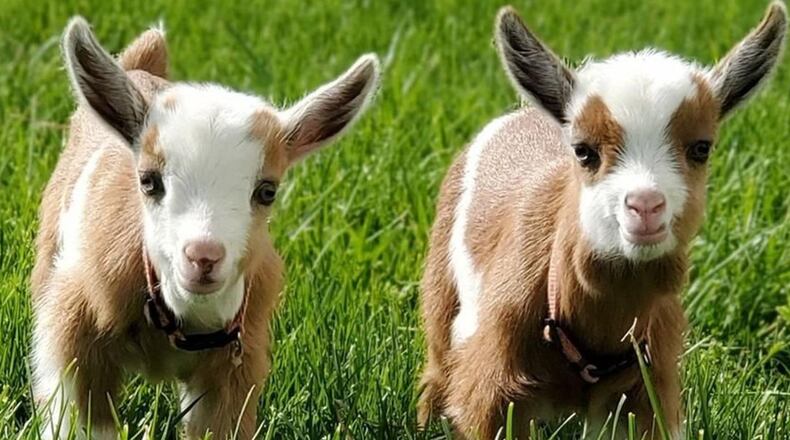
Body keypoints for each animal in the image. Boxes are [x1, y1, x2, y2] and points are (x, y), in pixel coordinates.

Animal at [31, 17, 380, 439]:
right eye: (148, 181)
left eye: (267, 191)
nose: (203, 256)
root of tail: (140, 69)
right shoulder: (75, 335)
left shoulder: (238, 363)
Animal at [418, 3, 786, 438]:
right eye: (583, 151)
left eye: (701, 148)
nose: (645, 204)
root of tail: (521, 116)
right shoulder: (489, 386)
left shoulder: (650, 393)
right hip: (442, 289)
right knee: (436, 366)